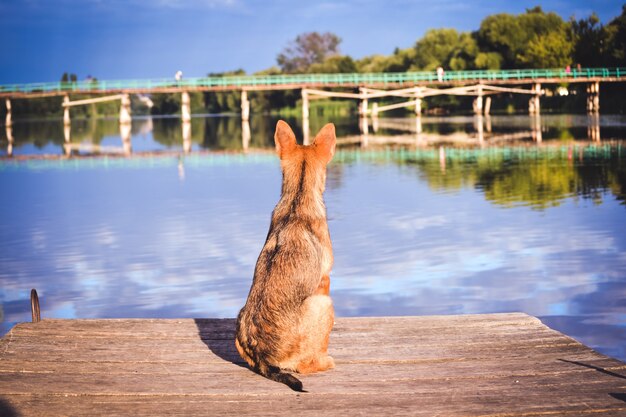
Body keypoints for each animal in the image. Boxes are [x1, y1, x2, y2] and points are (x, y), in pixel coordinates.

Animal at [234, 119, 334, 390]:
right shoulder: (325, 281)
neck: (296, 200)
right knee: (305, 365)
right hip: (324, 304)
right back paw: (326, 361)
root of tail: (262, 357)